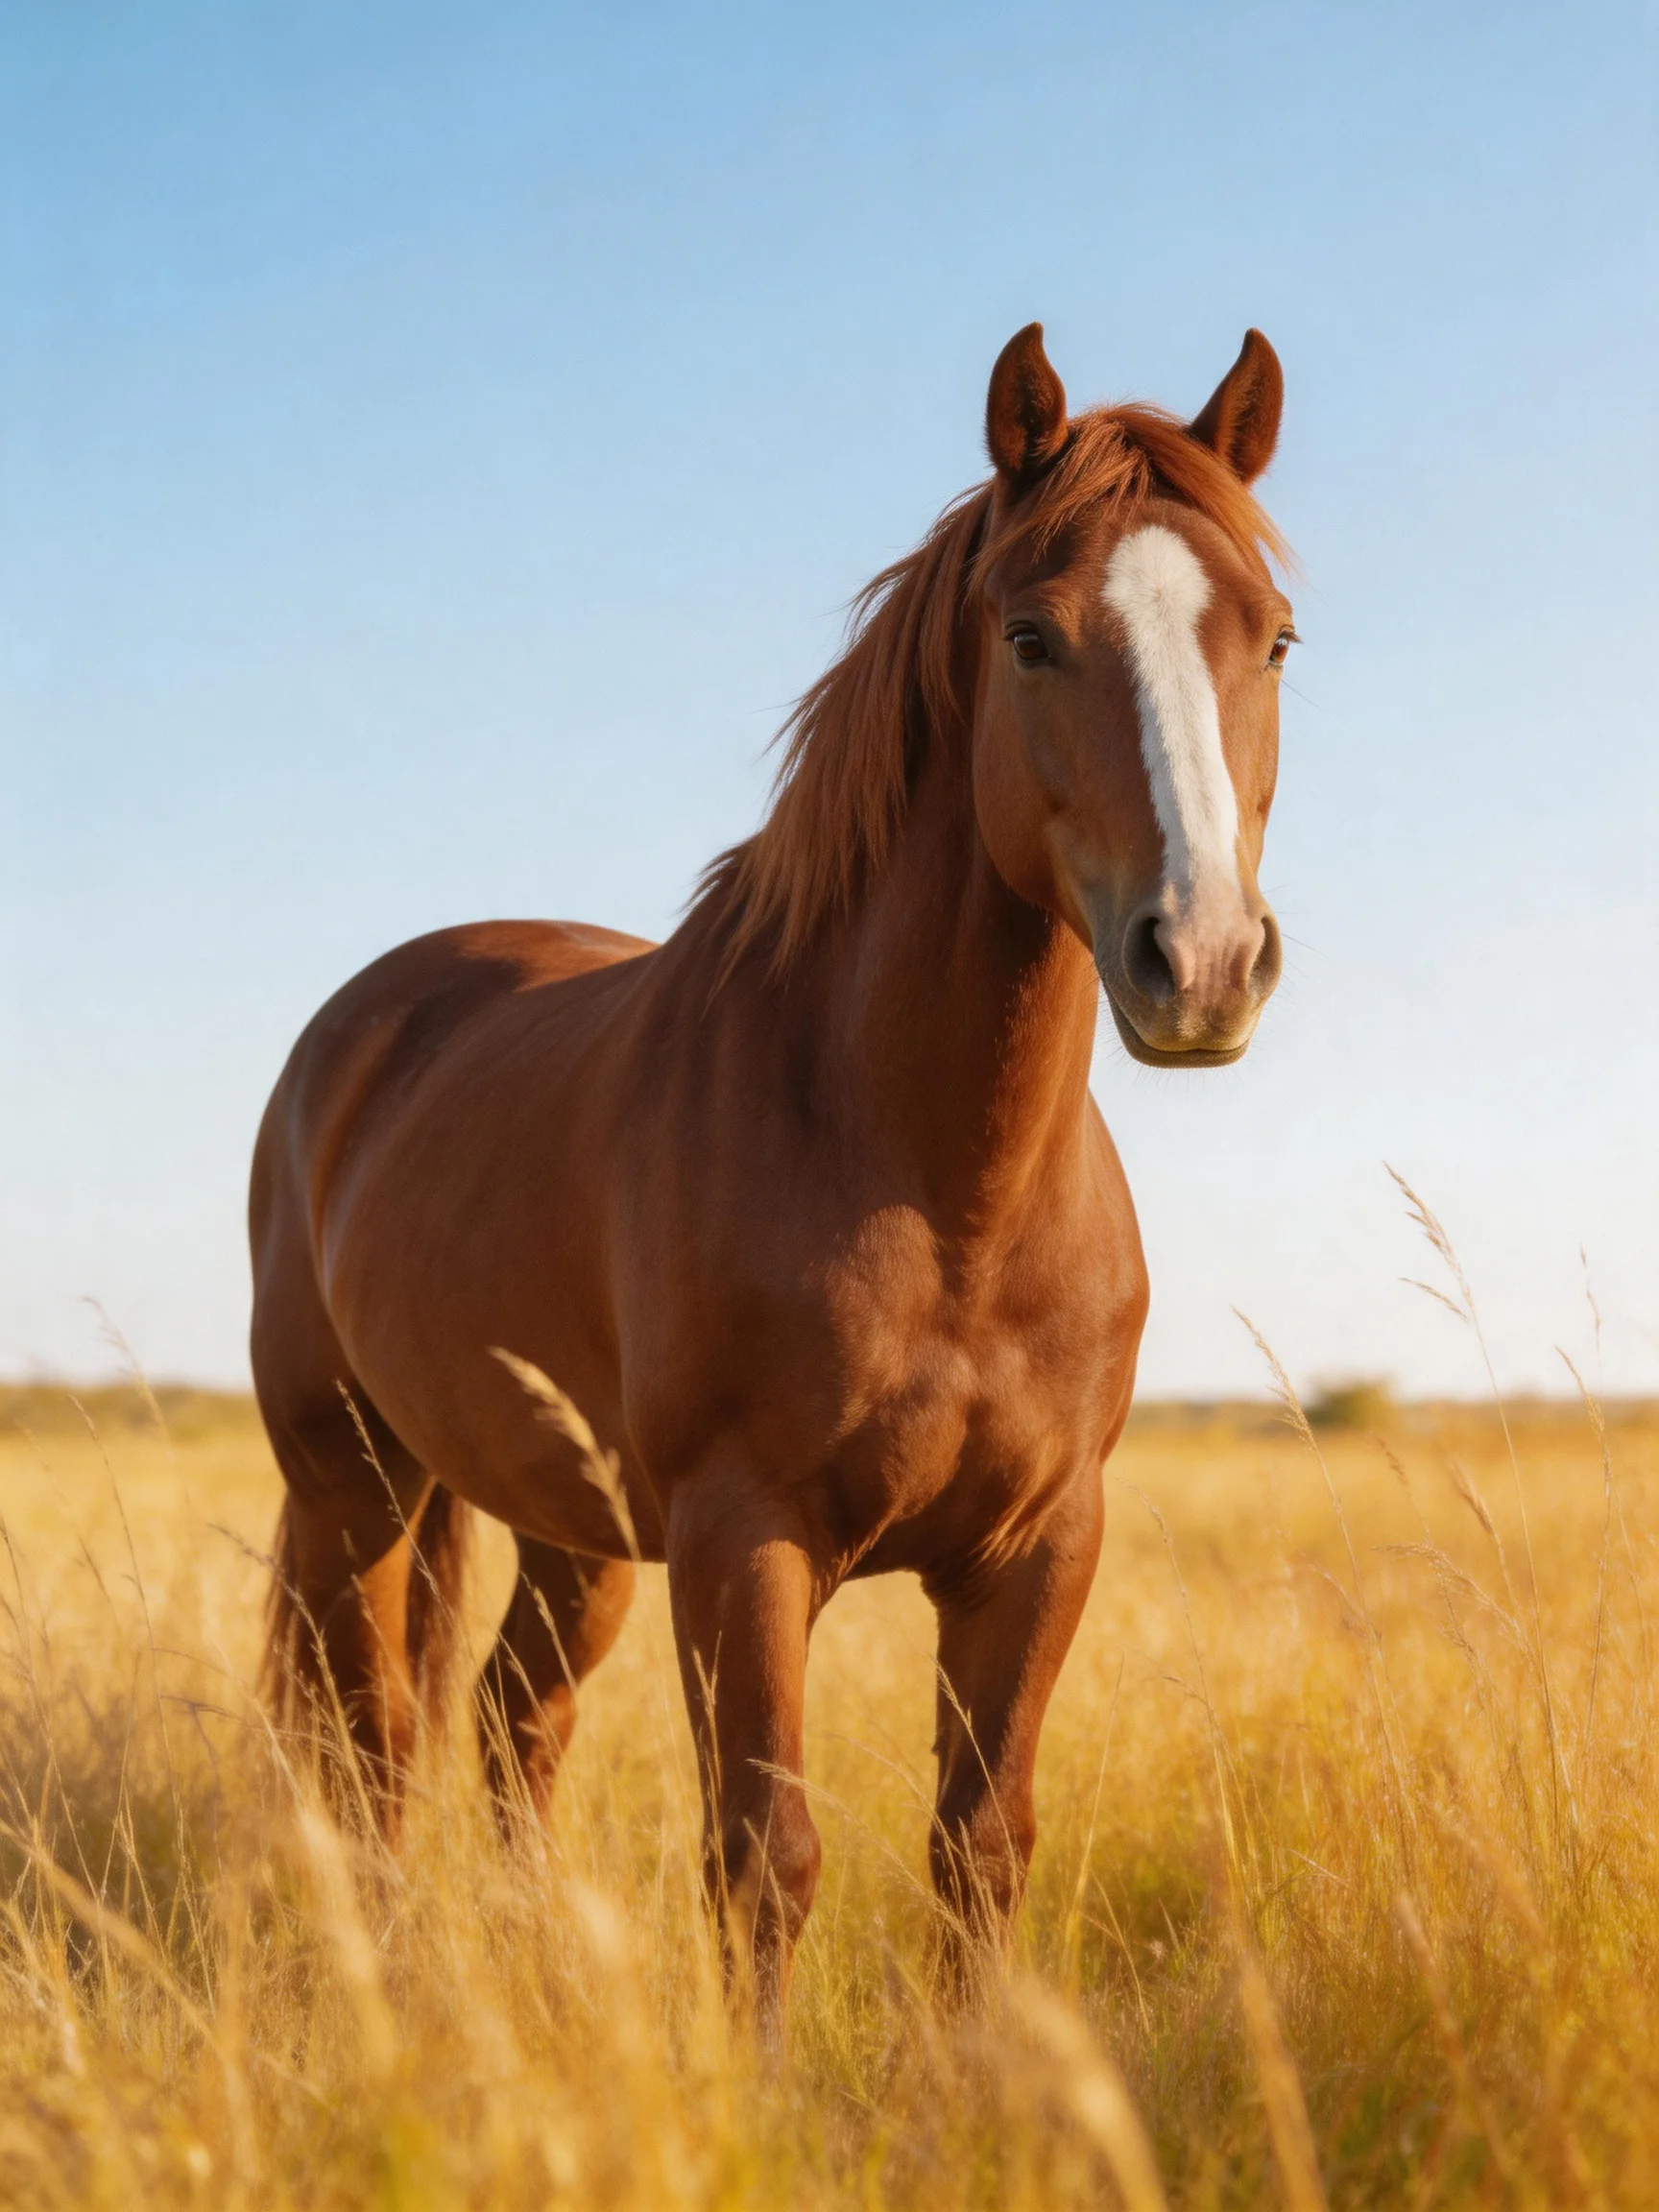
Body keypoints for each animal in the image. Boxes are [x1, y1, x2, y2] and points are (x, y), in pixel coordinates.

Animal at [251, 321, 1294, 2025]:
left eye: (1273, 640)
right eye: (1030, 638)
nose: (1201, 963)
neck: (936, 1189)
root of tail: (369, 1022)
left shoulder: (1037, 1551)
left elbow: (978, 1852)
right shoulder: (748, 1543)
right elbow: (765, 1858)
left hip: (568, 1524)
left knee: (508, 1719)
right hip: (355, 1485)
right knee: (363, 1742)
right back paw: (385, 1980)